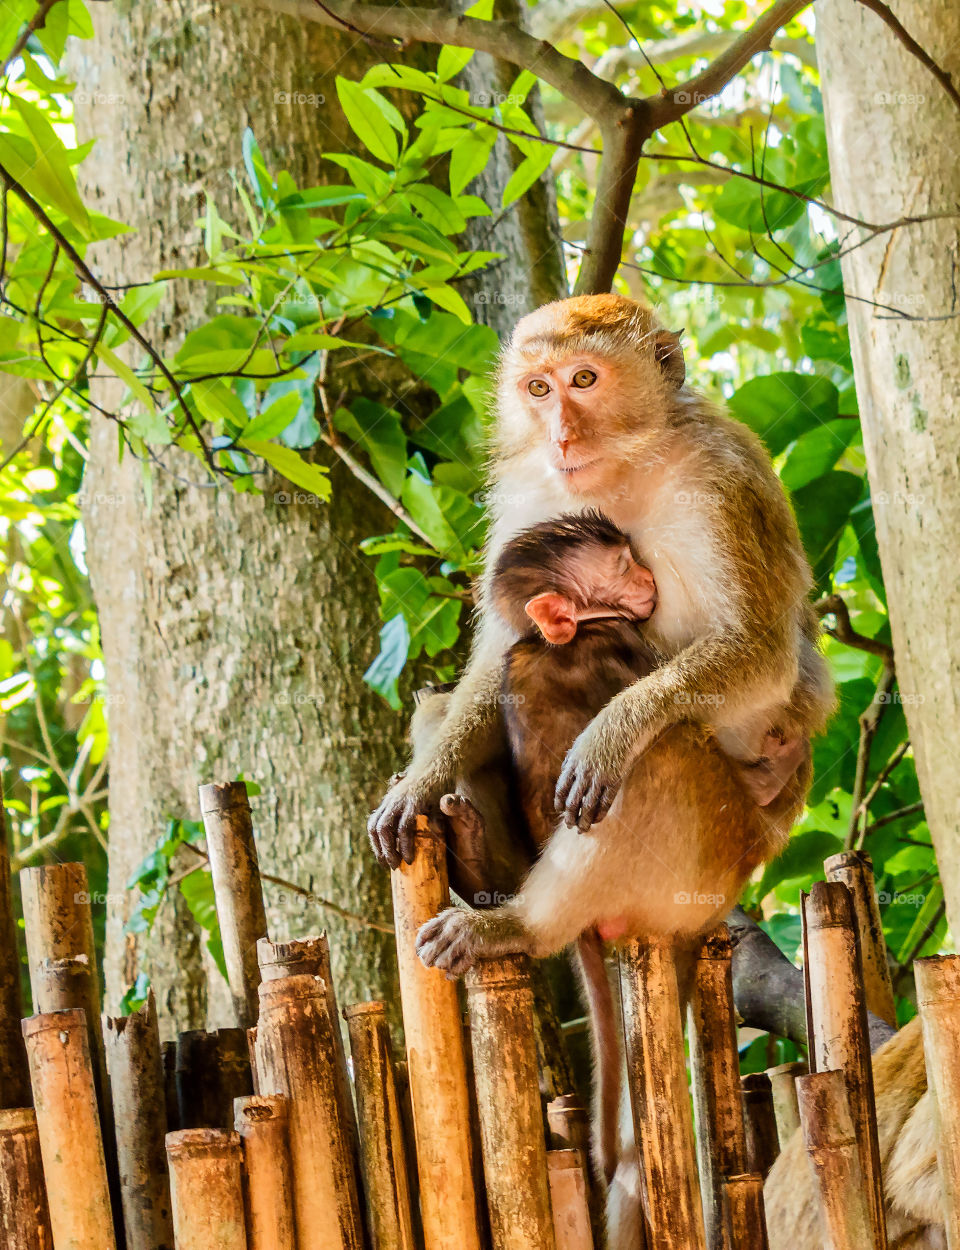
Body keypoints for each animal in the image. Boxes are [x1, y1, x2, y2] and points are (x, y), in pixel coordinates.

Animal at [368, 292, 835, 868]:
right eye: (539, 388)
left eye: (585, 379)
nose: (561, 438)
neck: (628, 465)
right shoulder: (526, 491)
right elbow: (502, 650)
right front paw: (420, 783)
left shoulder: (724, 481)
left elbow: (762, 651)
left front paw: (612, 734)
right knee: (440, 703)